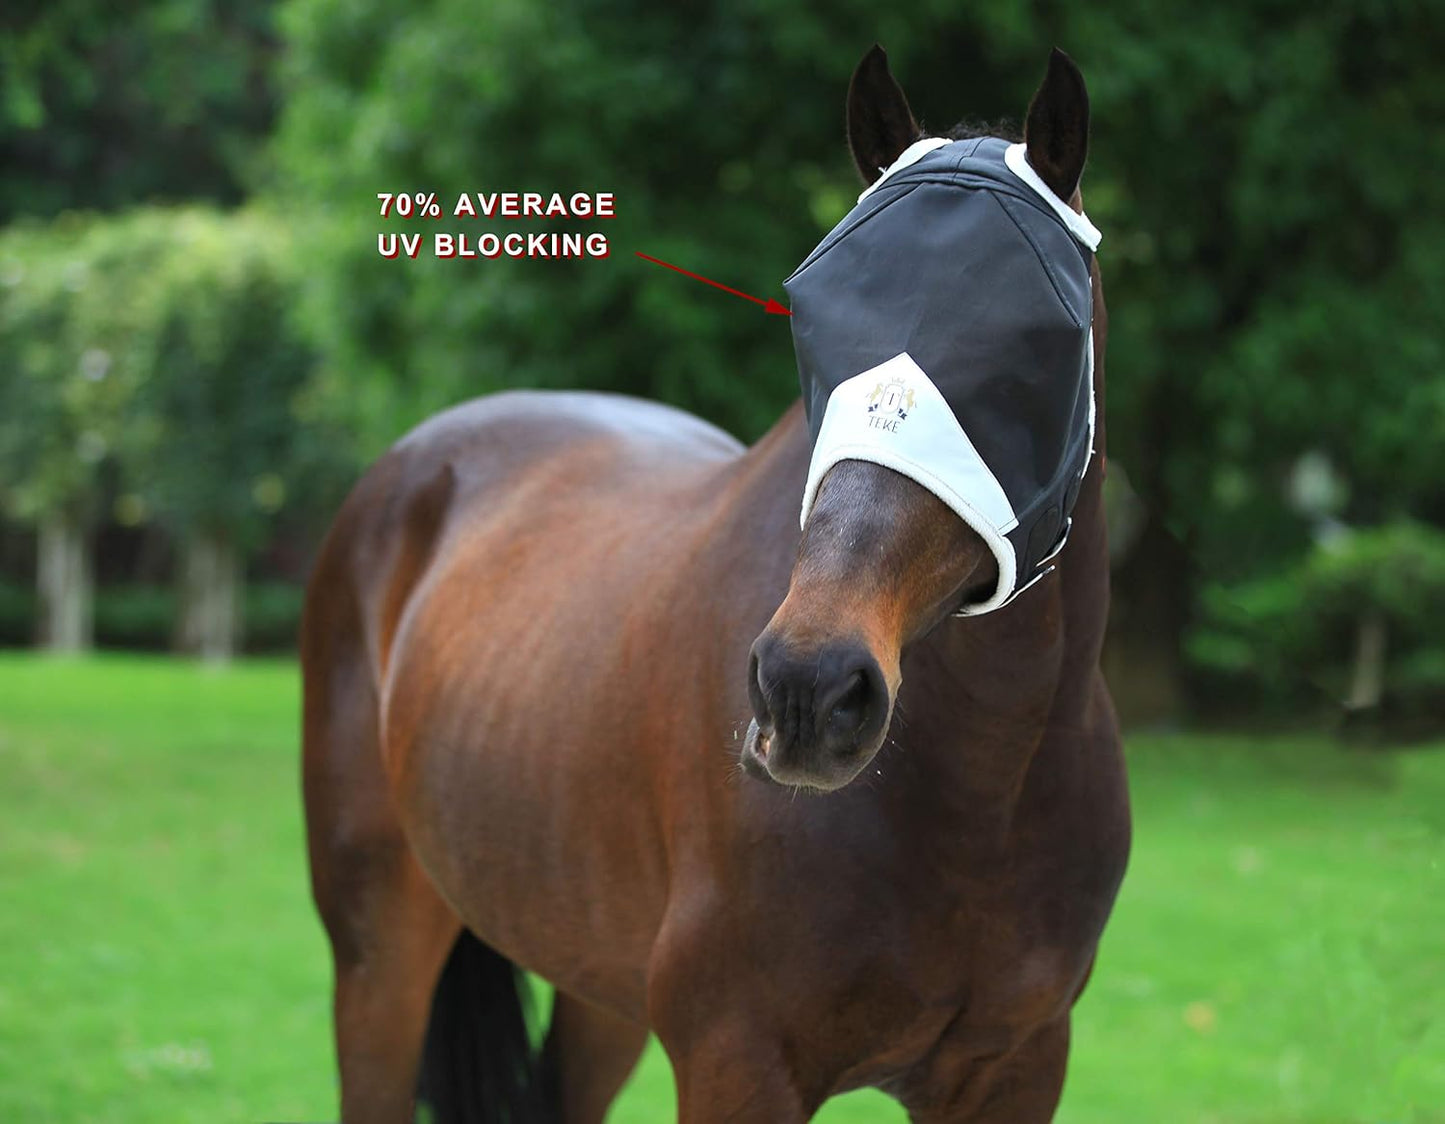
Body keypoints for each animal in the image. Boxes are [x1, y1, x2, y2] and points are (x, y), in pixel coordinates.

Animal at [302, 45, 1130, 1124]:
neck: (982, 791)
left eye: (1034, 338)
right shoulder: (736, 1059)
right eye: (813, 311)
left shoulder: (1015, 1067)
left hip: (594, 984)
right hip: (379, 957)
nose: (807, 689)